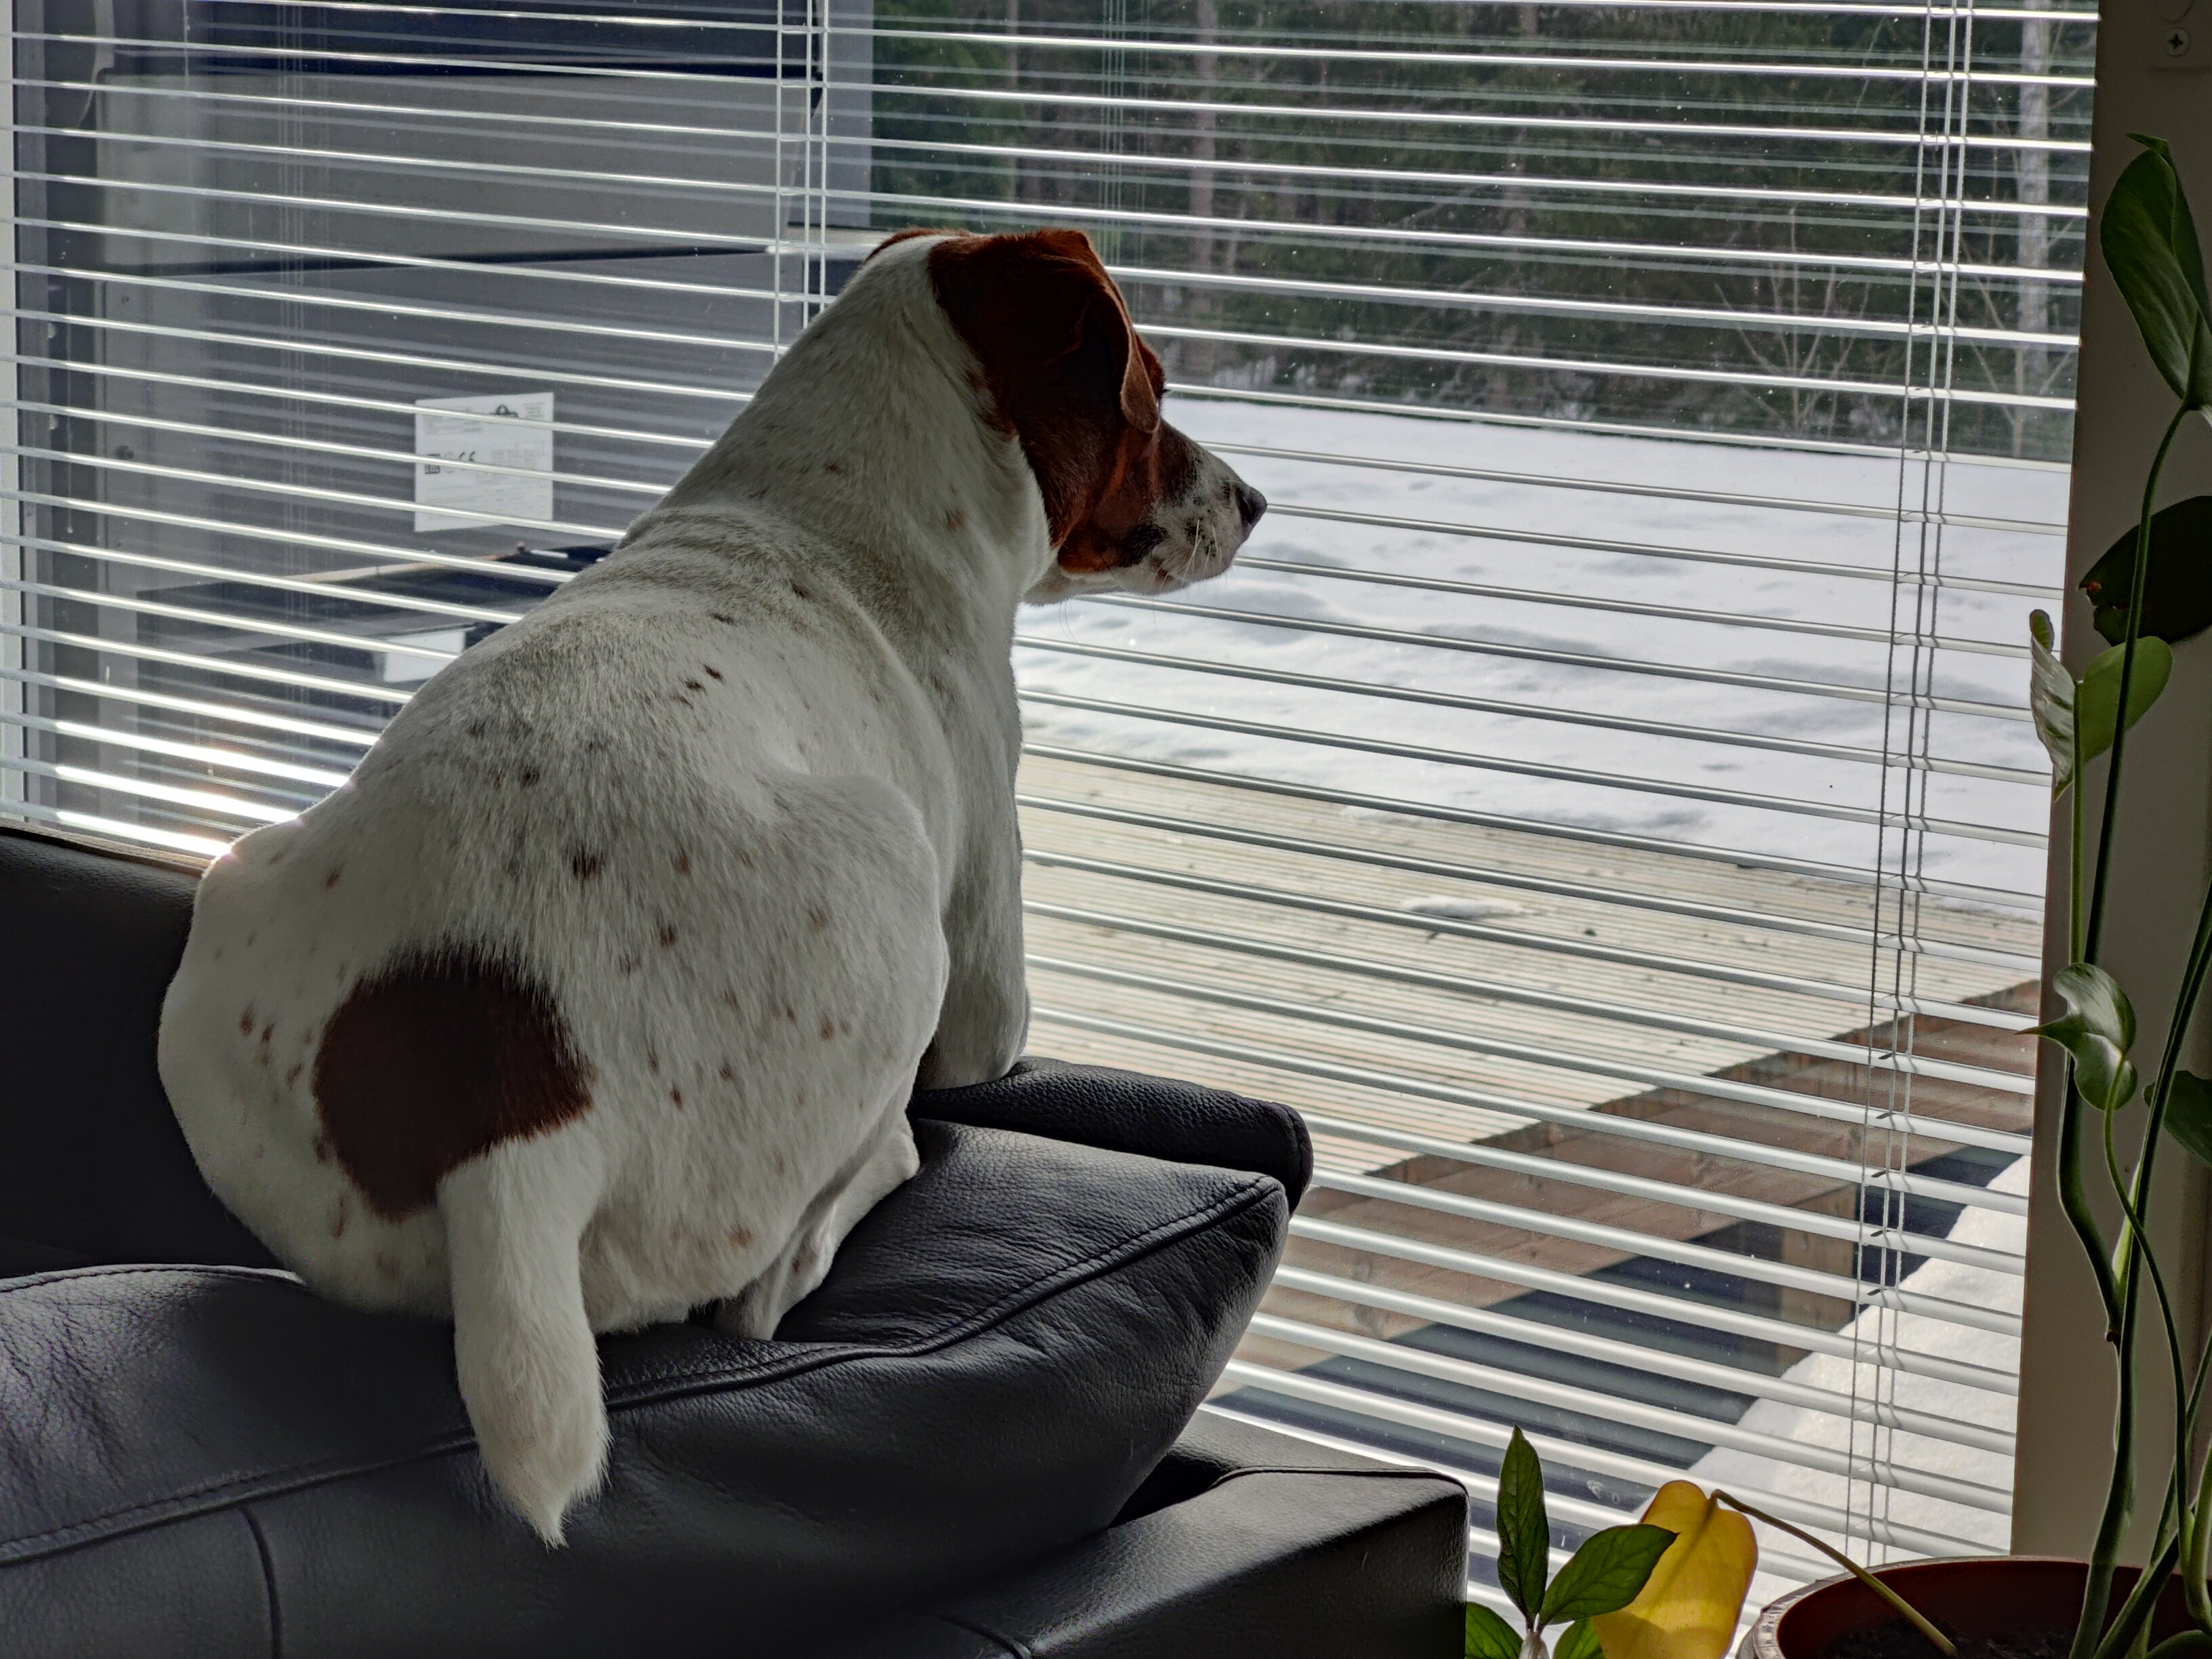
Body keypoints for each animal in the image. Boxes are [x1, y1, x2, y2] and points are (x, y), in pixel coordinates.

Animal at [155, 227, 1266, 1544]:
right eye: (1152, 385)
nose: (1254, 501)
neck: (834, 500)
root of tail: (506, 1106)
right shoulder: (984, 973)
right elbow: (978, 1050)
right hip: (888, 867)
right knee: (778, 1272)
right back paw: (868, 1175)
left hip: (230, 902)